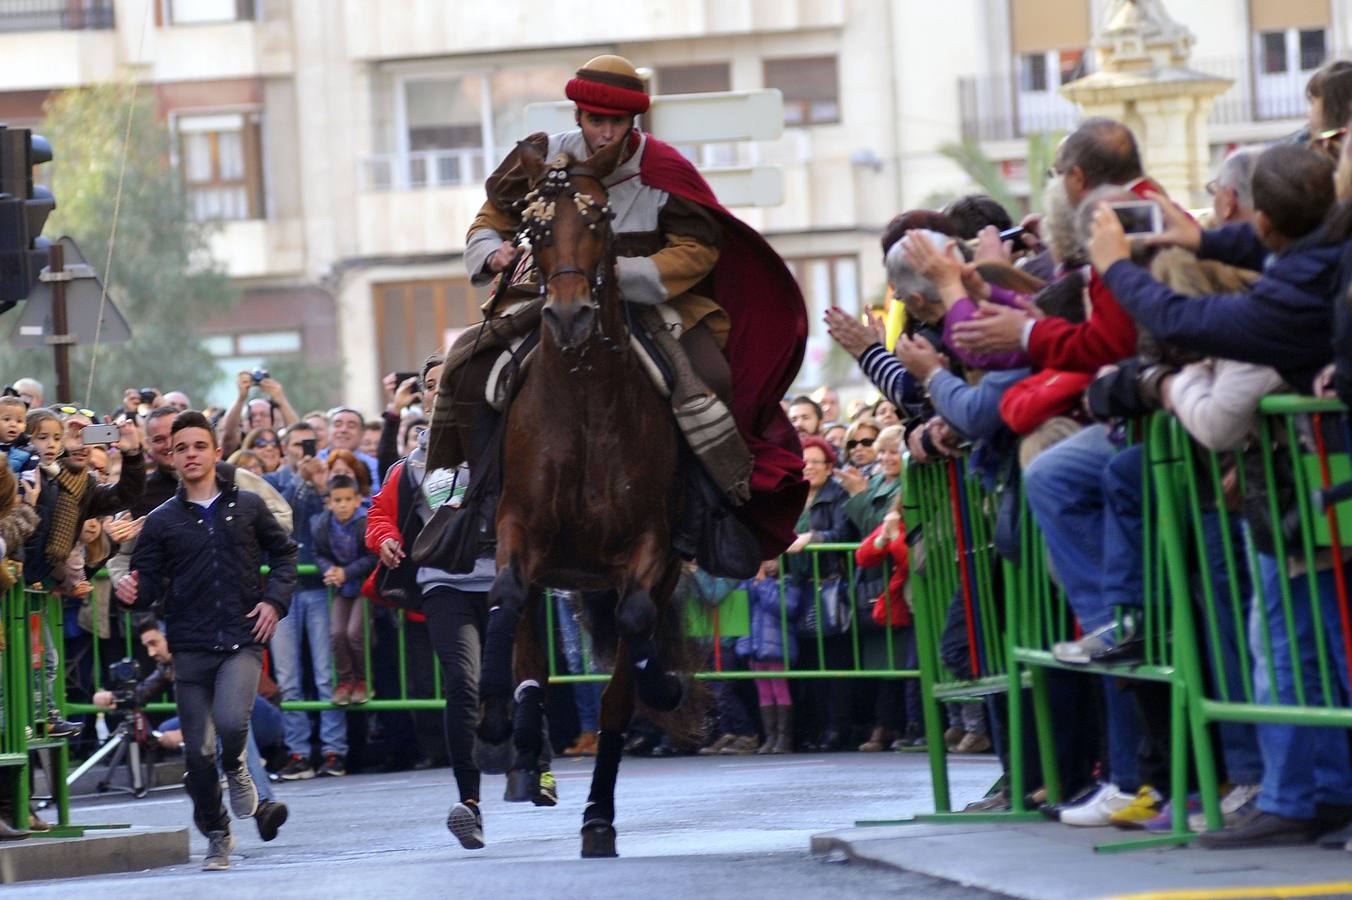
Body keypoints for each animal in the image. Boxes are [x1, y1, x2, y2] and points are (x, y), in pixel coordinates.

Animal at [478, 135, 697, 854]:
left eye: (599, 221)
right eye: (536, 229)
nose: (569, 315)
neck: (584, 399)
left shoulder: (651, 545)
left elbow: (632, 637)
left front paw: (663, 685)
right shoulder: (518, 527)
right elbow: (506, 597)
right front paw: (499, 716)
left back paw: (598, 813)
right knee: (522, 631)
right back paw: (522, 743)